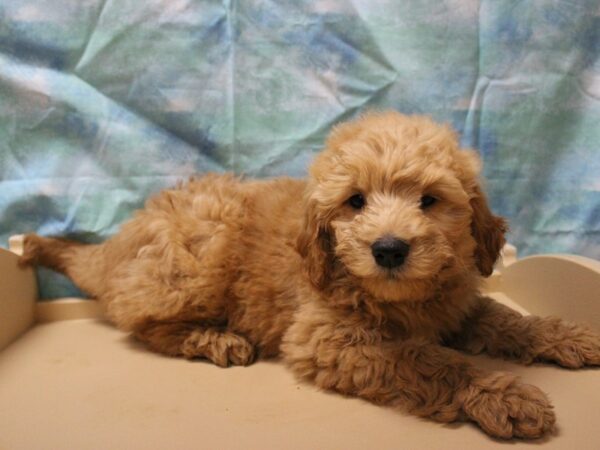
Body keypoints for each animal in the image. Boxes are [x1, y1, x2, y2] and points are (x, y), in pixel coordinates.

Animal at [21, 112, 596, 440]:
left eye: (429, 201)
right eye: (355, 202)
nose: (389, 249)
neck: (402, 299)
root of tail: (121, 239)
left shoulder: (457, 302)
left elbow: (504, 319)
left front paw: (569, 336)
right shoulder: (325, 337)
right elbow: (427, 360)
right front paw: (506, 394)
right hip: (202, 248)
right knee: (141, 324)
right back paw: (214, 337)